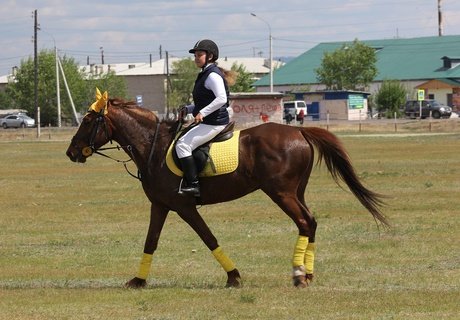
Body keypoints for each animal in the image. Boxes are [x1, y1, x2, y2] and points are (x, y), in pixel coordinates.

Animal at [65, 96, 388, 288]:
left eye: (88, 120)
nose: (71, 153)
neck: (153, 146)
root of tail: (299, 131)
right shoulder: (160, 205)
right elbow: (151, 241)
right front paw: (138, 280)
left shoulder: (184, 207)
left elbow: (208, 238)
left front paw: (234, 276)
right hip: (297, 192)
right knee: (311, 222)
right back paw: (307, 273)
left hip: (281, 193)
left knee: (304, 222)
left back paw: (299, 275)